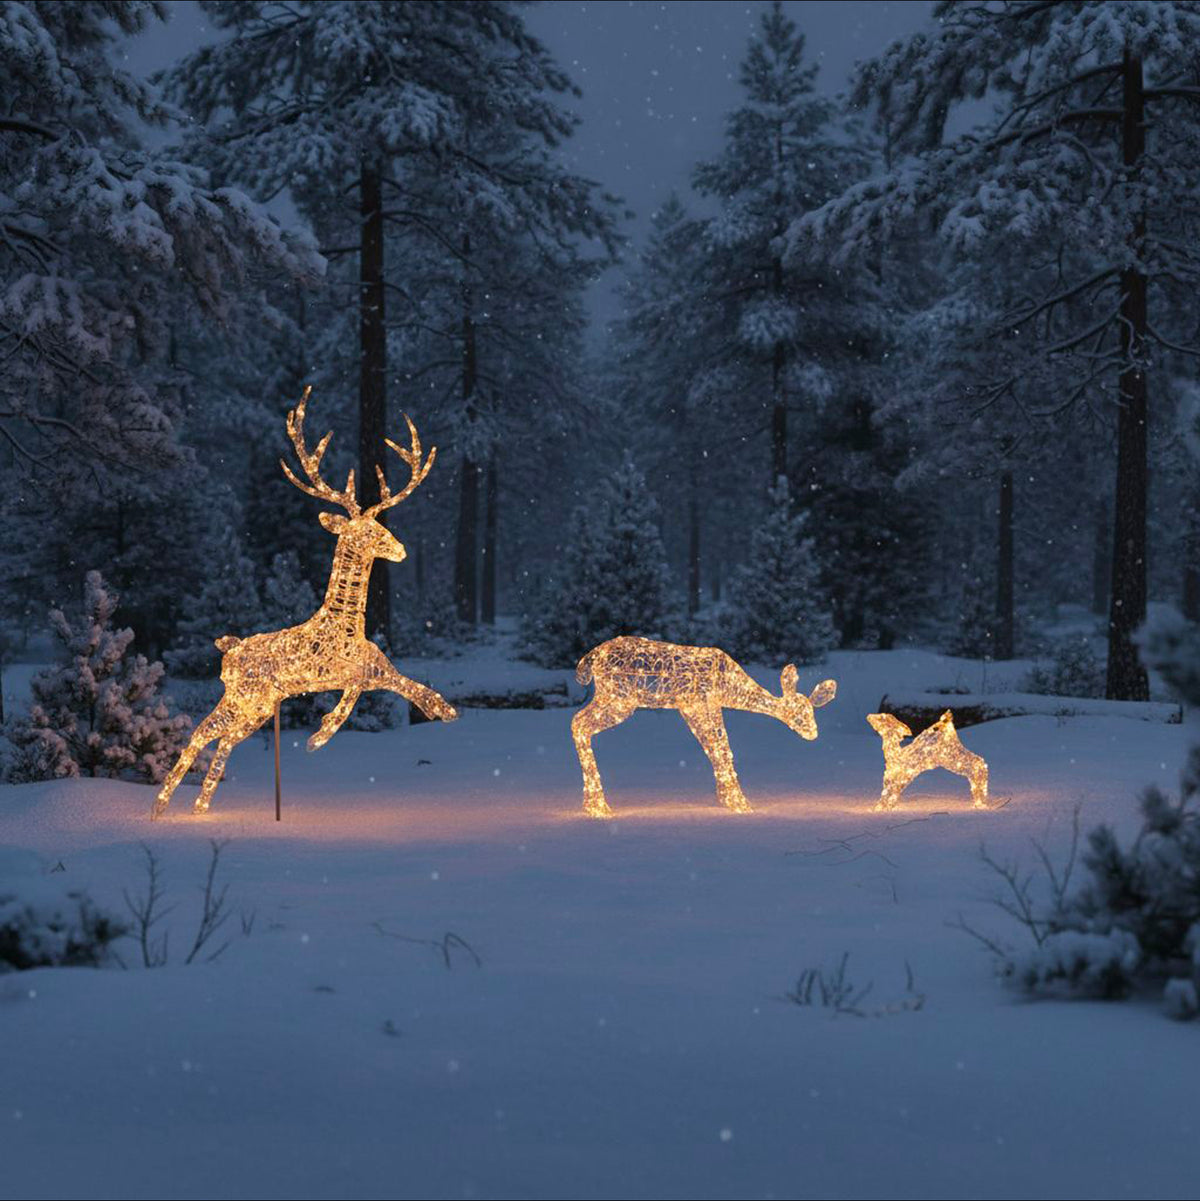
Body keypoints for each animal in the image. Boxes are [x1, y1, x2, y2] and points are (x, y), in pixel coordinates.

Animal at [153, 387, 457, 818]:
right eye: (369, 531)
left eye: (381, 525)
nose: (400, 549)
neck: (346, 625)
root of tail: (229, 649)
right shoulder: (347, 672)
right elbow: (358, 693)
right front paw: (319, 736)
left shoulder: (375, 667)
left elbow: (405, 682)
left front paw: (442, 709)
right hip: (251, 698)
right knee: (209, 735)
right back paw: (174, 807)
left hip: (251, 705)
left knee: (213, 736)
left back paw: (185, 806)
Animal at [572, 635, 837, 818]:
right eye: (800, 716)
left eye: (812, 713)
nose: (813, 733)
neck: (729, 687)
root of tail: (592, 658)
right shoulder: (696, 702)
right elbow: (720, 747)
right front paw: (740, 803)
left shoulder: (701, 706)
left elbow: (716, 748)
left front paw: (726, 799)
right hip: (620, 698)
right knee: (579, 723)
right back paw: (599, 807)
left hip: (611, 696)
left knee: (578, 722)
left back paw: (591, 805)